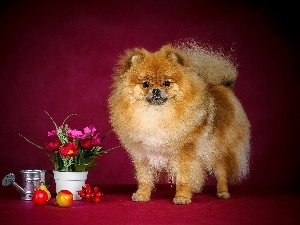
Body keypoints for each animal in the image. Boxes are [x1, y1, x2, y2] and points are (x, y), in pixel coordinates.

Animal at [108, 40, 251, 204]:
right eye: (145, 84)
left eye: (166, 83)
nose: (155, 90)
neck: (156, 115)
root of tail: (224, 87)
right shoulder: (143, 153)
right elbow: (144, 178)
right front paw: (142, 194)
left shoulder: (184, 152)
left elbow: (183, 177)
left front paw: (182, 197)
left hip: (217, 151)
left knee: (222, 173)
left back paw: (222, 192)